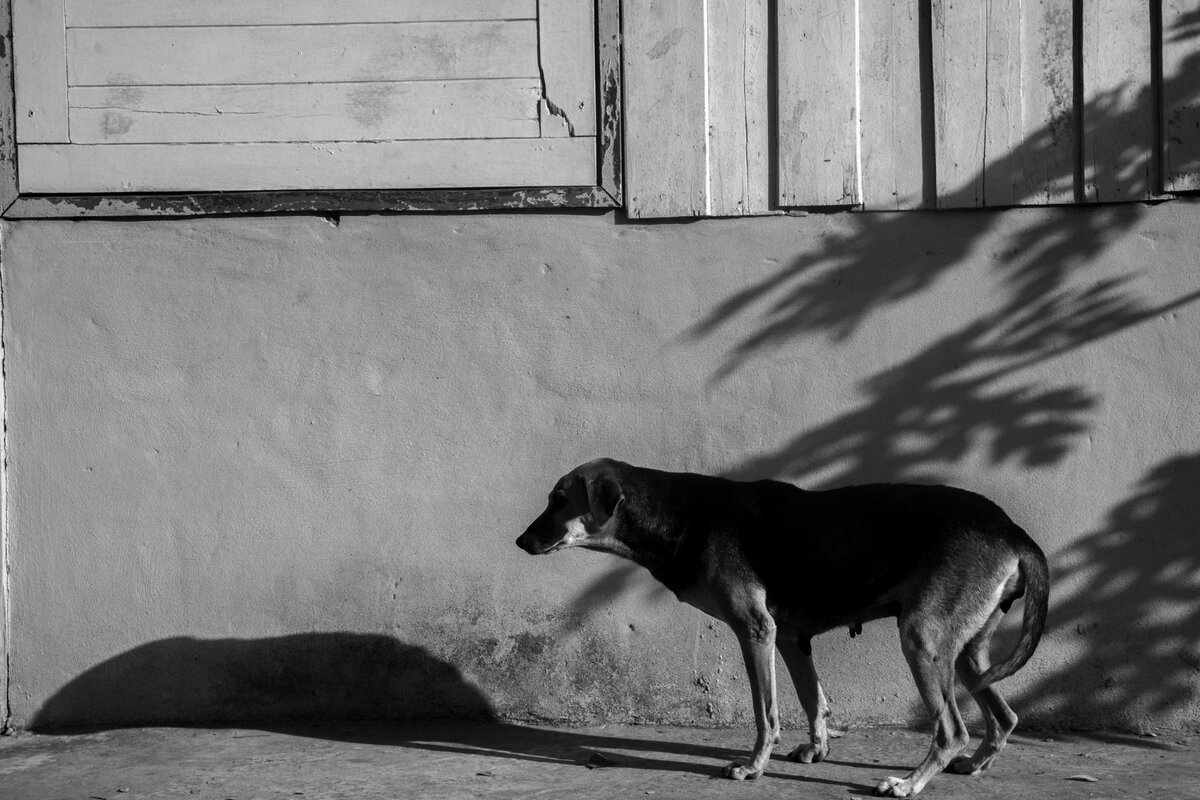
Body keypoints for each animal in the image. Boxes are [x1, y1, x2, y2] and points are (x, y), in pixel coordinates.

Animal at [516, 460, 1051, 796]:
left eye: (559, 499)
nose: (519, 541)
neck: (677, 513)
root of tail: (1014, 532)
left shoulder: (756, 631)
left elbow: (766, 713)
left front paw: (754, 767)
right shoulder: (793, 640)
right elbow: (813, 702)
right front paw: (817, 749)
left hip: (921, 639)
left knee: (951, 729)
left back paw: (908, 784)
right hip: (964, 652)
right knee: (1004, 716)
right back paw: (975, 765)